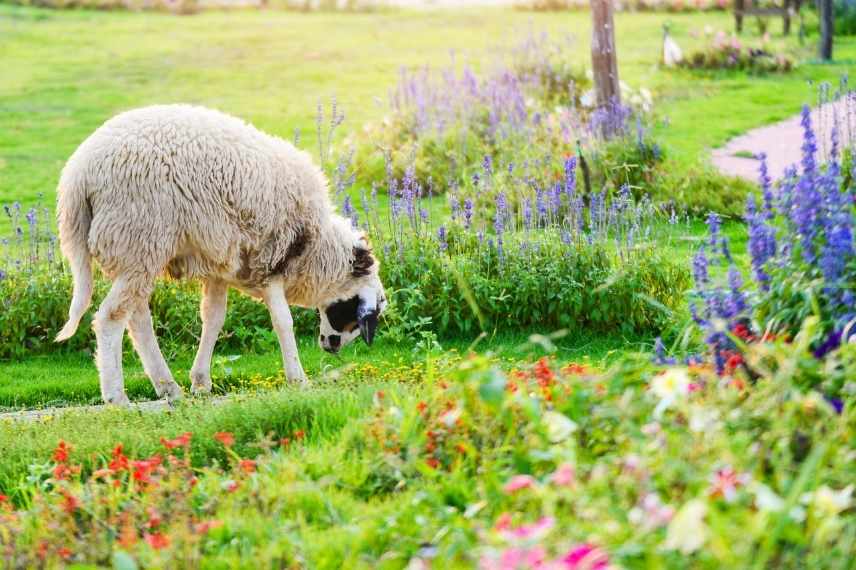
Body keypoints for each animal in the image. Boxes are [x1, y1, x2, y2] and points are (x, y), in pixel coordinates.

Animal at [55, 104, 387, 406]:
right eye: (357, 313)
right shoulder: (269, 262)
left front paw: (201, 382)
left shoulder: (220, 265)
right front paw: (298, 379)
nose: (332, 348)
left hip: (137, 254)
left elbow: (213, 319)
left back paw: (168, 387)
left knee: (137, 319)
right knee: (111, 318)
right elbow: (283, 321)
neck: (317, 250)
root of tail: (79, 176)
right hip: (139, 241)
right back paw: (117, 396)